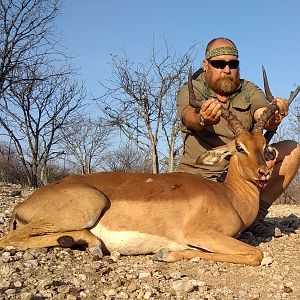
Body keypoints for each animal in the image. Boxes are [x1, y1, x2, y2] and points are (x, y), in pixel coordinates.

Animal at [0, 69, 278, 264]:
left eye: (264, 145)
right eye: (239, 147)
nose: (264, 173)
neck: (229, 196)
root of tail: (23, 205)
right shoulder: (200, 233)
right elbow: (256, 255)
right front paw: (165, 253)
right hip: (89, 205)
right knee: (10, 239)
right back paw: (91, 244)